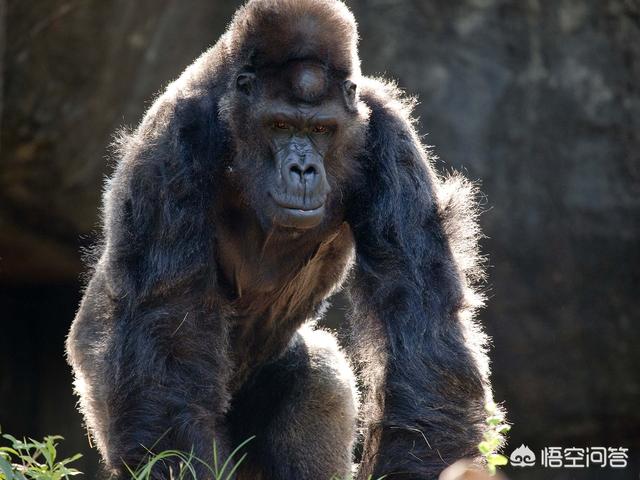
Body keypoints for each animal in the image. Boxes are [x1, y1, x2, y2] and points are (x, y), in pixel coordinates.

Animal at [67, 0, 498, 480]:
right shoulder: (171, 146)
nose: (303, 170)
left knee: (320, 378)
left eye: (321, 130)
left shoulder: (388, 129)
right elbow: (165, 334)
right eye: (279, 125)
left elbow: (420, 319)